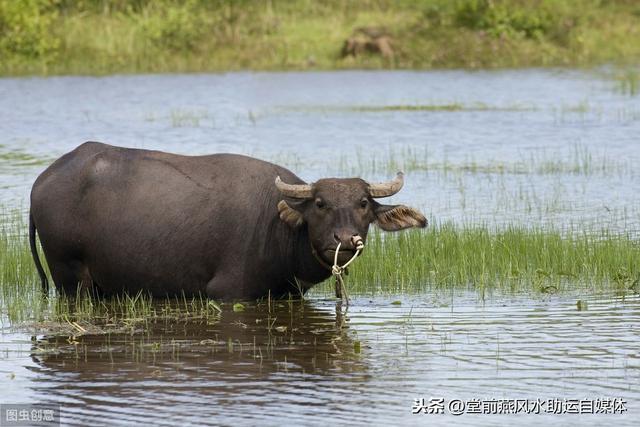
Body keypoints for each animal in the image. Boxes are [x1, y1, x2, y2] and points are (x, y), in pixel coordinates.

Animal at [31, 142, 430, 300]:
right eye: (320, 203)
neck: (279, 231)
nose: (345, 240)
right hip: (70, 278)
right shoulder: (229, 293)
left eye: (363, 203)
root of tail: (42, 182)